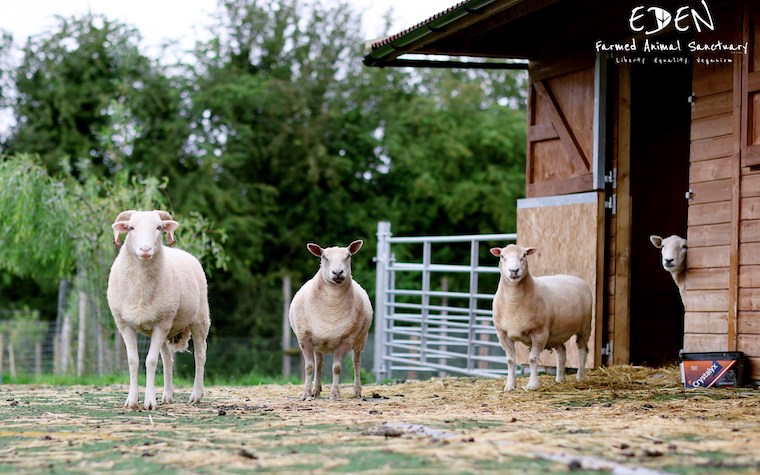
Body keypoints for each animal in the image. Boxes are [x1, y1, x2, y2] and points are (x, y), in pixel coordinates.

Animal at [107, 210, 210, 410]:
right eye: (131, 227)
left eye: (159, 227)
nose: (146, 250)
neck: (140, 288)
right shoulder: (125, 325)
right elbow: (134, 361)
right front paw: (132, 401)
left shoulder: (161, 324)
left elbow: (151, 361)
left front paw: (149, 402)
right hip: (166, 327)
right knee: (168, 358)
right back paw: (168, 395)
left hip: (199, 319)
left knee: (200, 354)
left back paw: (196, 395)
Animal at [289, 240, 373, 400]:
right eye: (324, 257)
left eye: (348, 256)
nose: (338, 272)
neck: (331, 306)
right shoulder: (304, 338)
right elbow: (309, 367)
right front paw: (305, 393)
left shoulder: (346, 339)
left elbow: (337, 368)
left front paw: (334, 394)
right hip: (318, 344)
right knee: (319, 363)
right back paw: (316, 390)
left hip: (361, 339)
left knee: (356, 362)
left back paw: (357, 391)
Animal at [489, 244, 592, 391]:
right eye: (502, 256)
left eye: (524, 256)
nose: (514, 270)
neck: (513, 303)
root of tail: (577, 278)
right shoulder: (502, 333)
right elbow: (510, 360)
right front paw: (510, 385)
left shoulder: (539, 332)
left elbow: (532, 359)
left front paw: (533, 385)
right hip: (556, 333)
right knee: (562, 352)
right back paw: (560, 379)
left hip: (585, 327)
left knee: (582, 351)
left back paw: (580, 377)